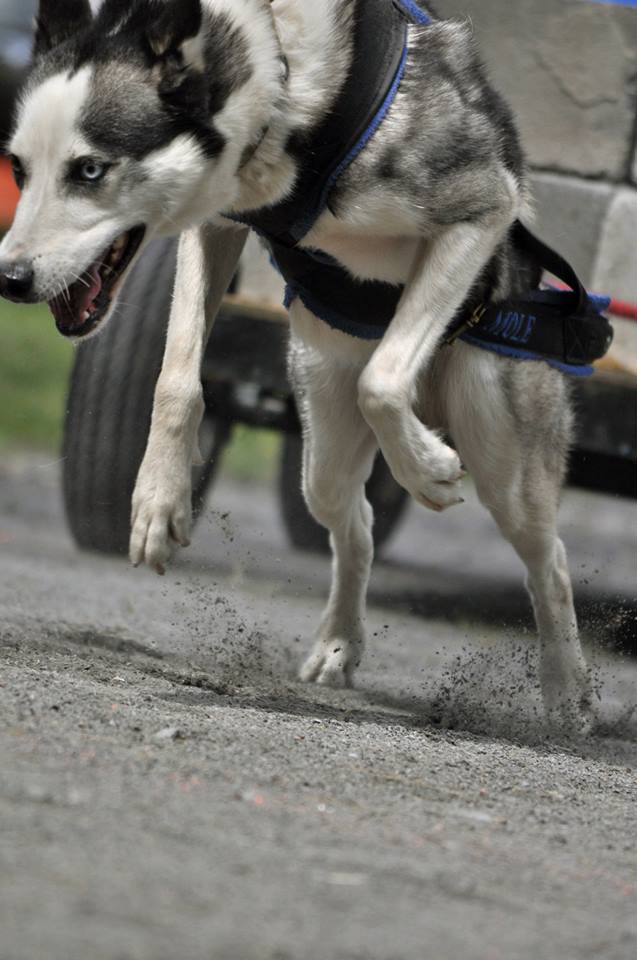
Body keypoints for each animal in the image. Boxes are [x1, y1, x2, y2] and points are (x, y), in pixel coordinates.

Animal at [0, 0, 592, 732]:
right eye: (18, 168)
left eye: (88, 170)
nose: (10, 280)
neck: (283, 79)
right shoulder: (215, 222)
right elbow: (177, 377)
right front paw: (159, 499)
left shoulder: (480, 205)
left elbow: (383, 380)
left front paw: (425, 468)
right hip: (325, 442)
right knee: (355, 519)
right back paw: (339, 640)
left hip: (501, 449)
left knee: (547, 557)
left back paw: (567, 692)